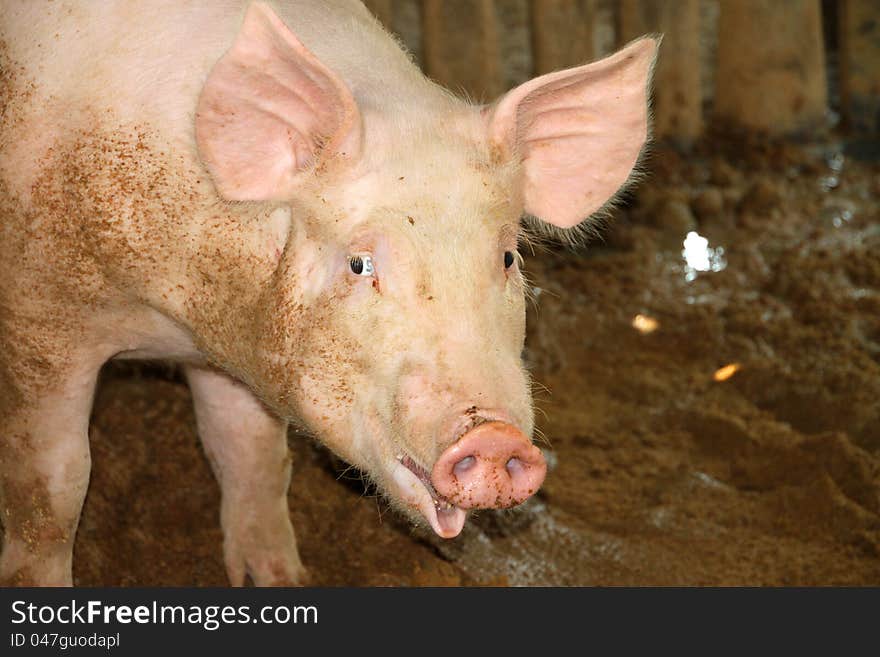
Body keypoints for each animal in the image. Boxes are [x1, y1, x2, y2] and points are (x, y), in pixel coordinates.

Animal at [0, 0, 652, 584]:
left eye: (509, 258)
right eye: (359, 264)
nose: (494, 436)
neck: (177, 322)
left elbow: (253, 456)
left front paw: (283, 581)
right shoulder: (37, 323)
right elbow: (54, 486)